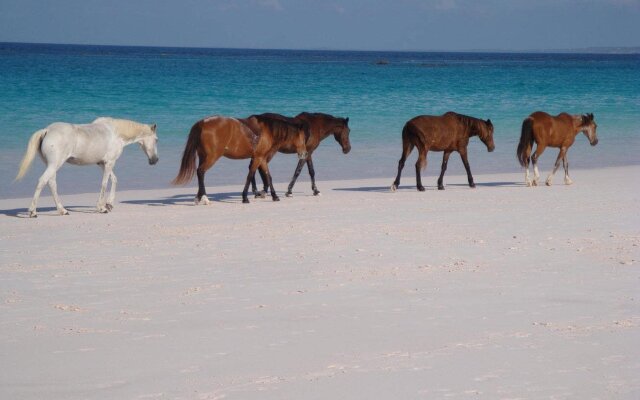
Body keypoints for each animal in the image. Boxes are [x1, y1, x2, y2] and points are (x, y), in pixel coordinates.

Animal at [15, 117, 158, 217]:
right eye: (156, 139)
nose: (155, 160)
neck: (116, 133)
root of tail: (47, 130)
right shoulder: (109, 163)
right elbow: (105, 183)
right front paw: (102, 208)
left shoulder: (102, 163)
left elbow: (114, 179)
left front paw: (109, 204)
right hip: (55, 164)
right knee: (42, 181)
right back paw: (33, 212)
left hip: (52, 165)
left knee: (51, 183)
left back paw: (62, 210)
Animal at [172, 114, 308, 205]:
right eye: (302, 138)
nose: (305, 153)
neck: (267, 130)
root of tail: (202, 122)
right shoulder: (258, 158)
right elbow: (250, 175)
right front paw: (245, 197)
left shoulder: (262, 158)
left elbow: (268, 176)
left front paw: (274, 196)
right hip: (211, 157)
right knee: (200, 171)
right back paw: (204, 198)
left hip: (203, 156)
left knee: (200, 173)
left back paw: (198, 197)